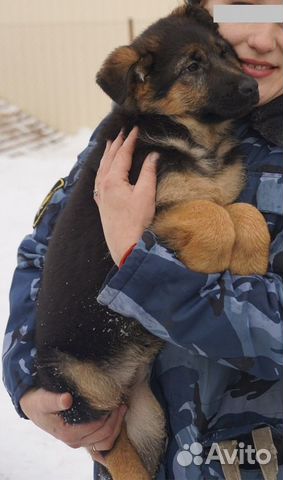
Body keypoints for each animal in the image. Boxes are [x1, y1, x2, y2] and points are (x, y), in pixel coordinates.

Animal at [35, 1, 270, 478]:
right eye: (192, 67)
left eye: (224, 52)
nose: (251, 86)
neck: (193, 138)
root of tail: (121, 384)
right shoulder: (145, 217)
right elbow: (214, 219)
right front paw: (207, 260)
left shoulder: (222, 192)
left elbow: (242, 212)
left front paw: (251, 262)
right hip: (80, 390)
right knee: (113, 452)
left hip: (149, 416)